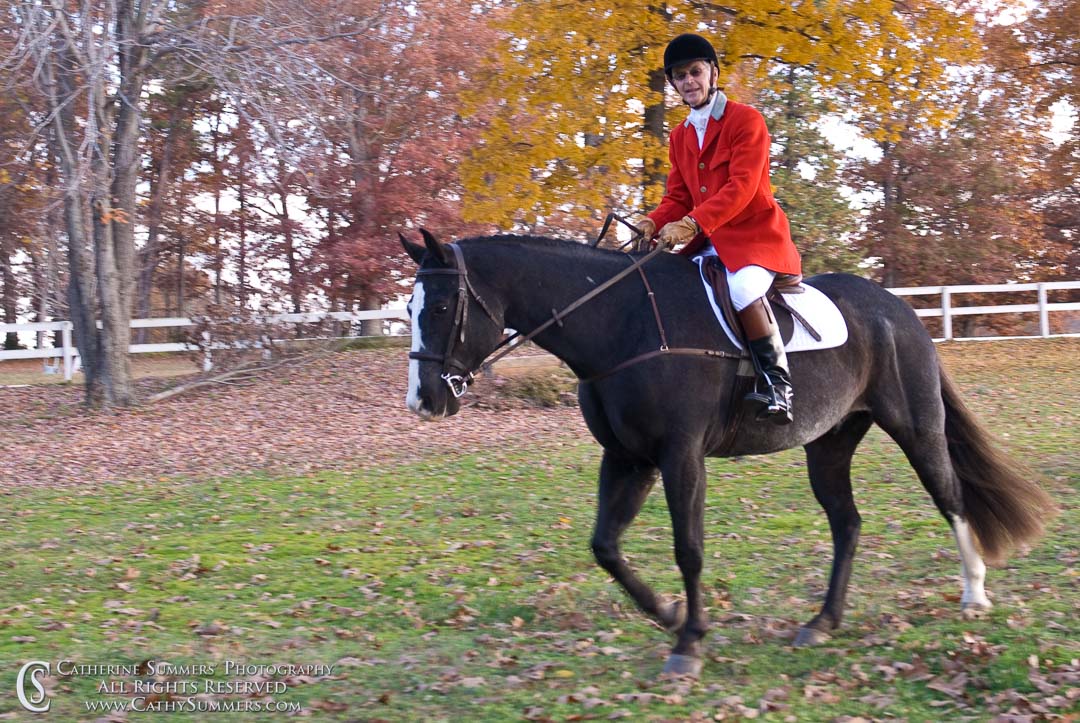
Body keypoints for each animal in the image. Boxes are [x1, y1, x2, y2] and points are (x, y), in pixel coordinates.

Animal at [397, 231, 1054, 678]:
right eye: (407, 309)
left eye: (440, 308)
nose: (423, 401)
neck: (621, 324)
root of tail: (899, 309)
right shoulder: (628, 458)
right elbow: (605, 547)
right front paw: (666, 614)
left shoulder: (680, 456)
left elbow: (688, 548)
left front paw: (688, 642)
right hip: (830, 442)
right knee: (847, 523)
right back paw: (823, 622)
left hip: (915, 427)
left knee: (950, 496)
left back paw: (974, 595)